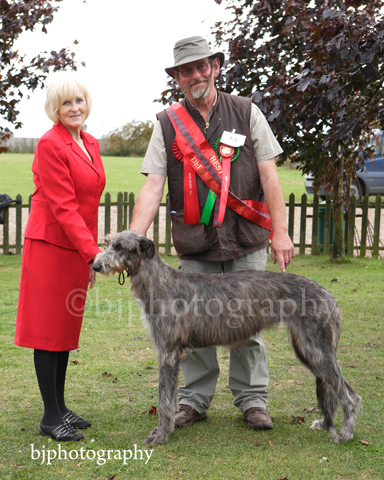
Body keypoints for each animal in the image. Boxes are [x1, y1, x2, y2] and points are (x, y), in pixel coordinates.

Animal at [91, 231, 362, 444]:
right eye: (108, 242)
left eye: (119, 247)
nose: (94, 266)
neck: (160, 282)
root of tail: (328, 294)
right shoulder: (172, 353)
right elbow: (169, 397)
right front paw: (165, 430)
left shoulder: (168, 353)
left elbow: (164, 400)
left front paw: (161, 435)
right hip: (307, 349)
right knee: (332, 389)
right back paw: (326, 424)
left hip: (316, 349)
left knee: (350, 395)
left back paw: (345, 434)